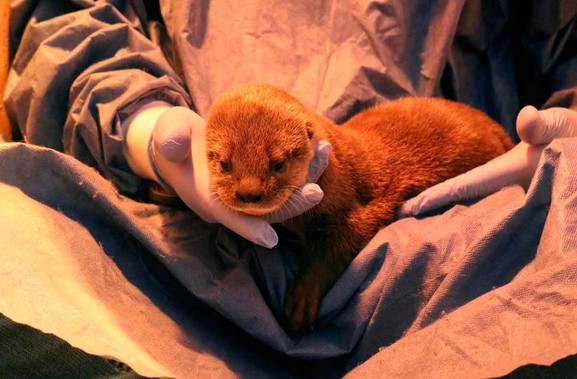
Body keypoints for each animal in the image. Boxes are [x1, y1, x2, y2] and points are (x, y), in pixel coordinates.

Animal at [204, 85, 512, 332]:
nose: (249, 193)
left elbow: (336, 250)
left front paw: (302, 300)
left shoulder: (349, 210)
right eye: (224, 163)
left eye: (278, 163)